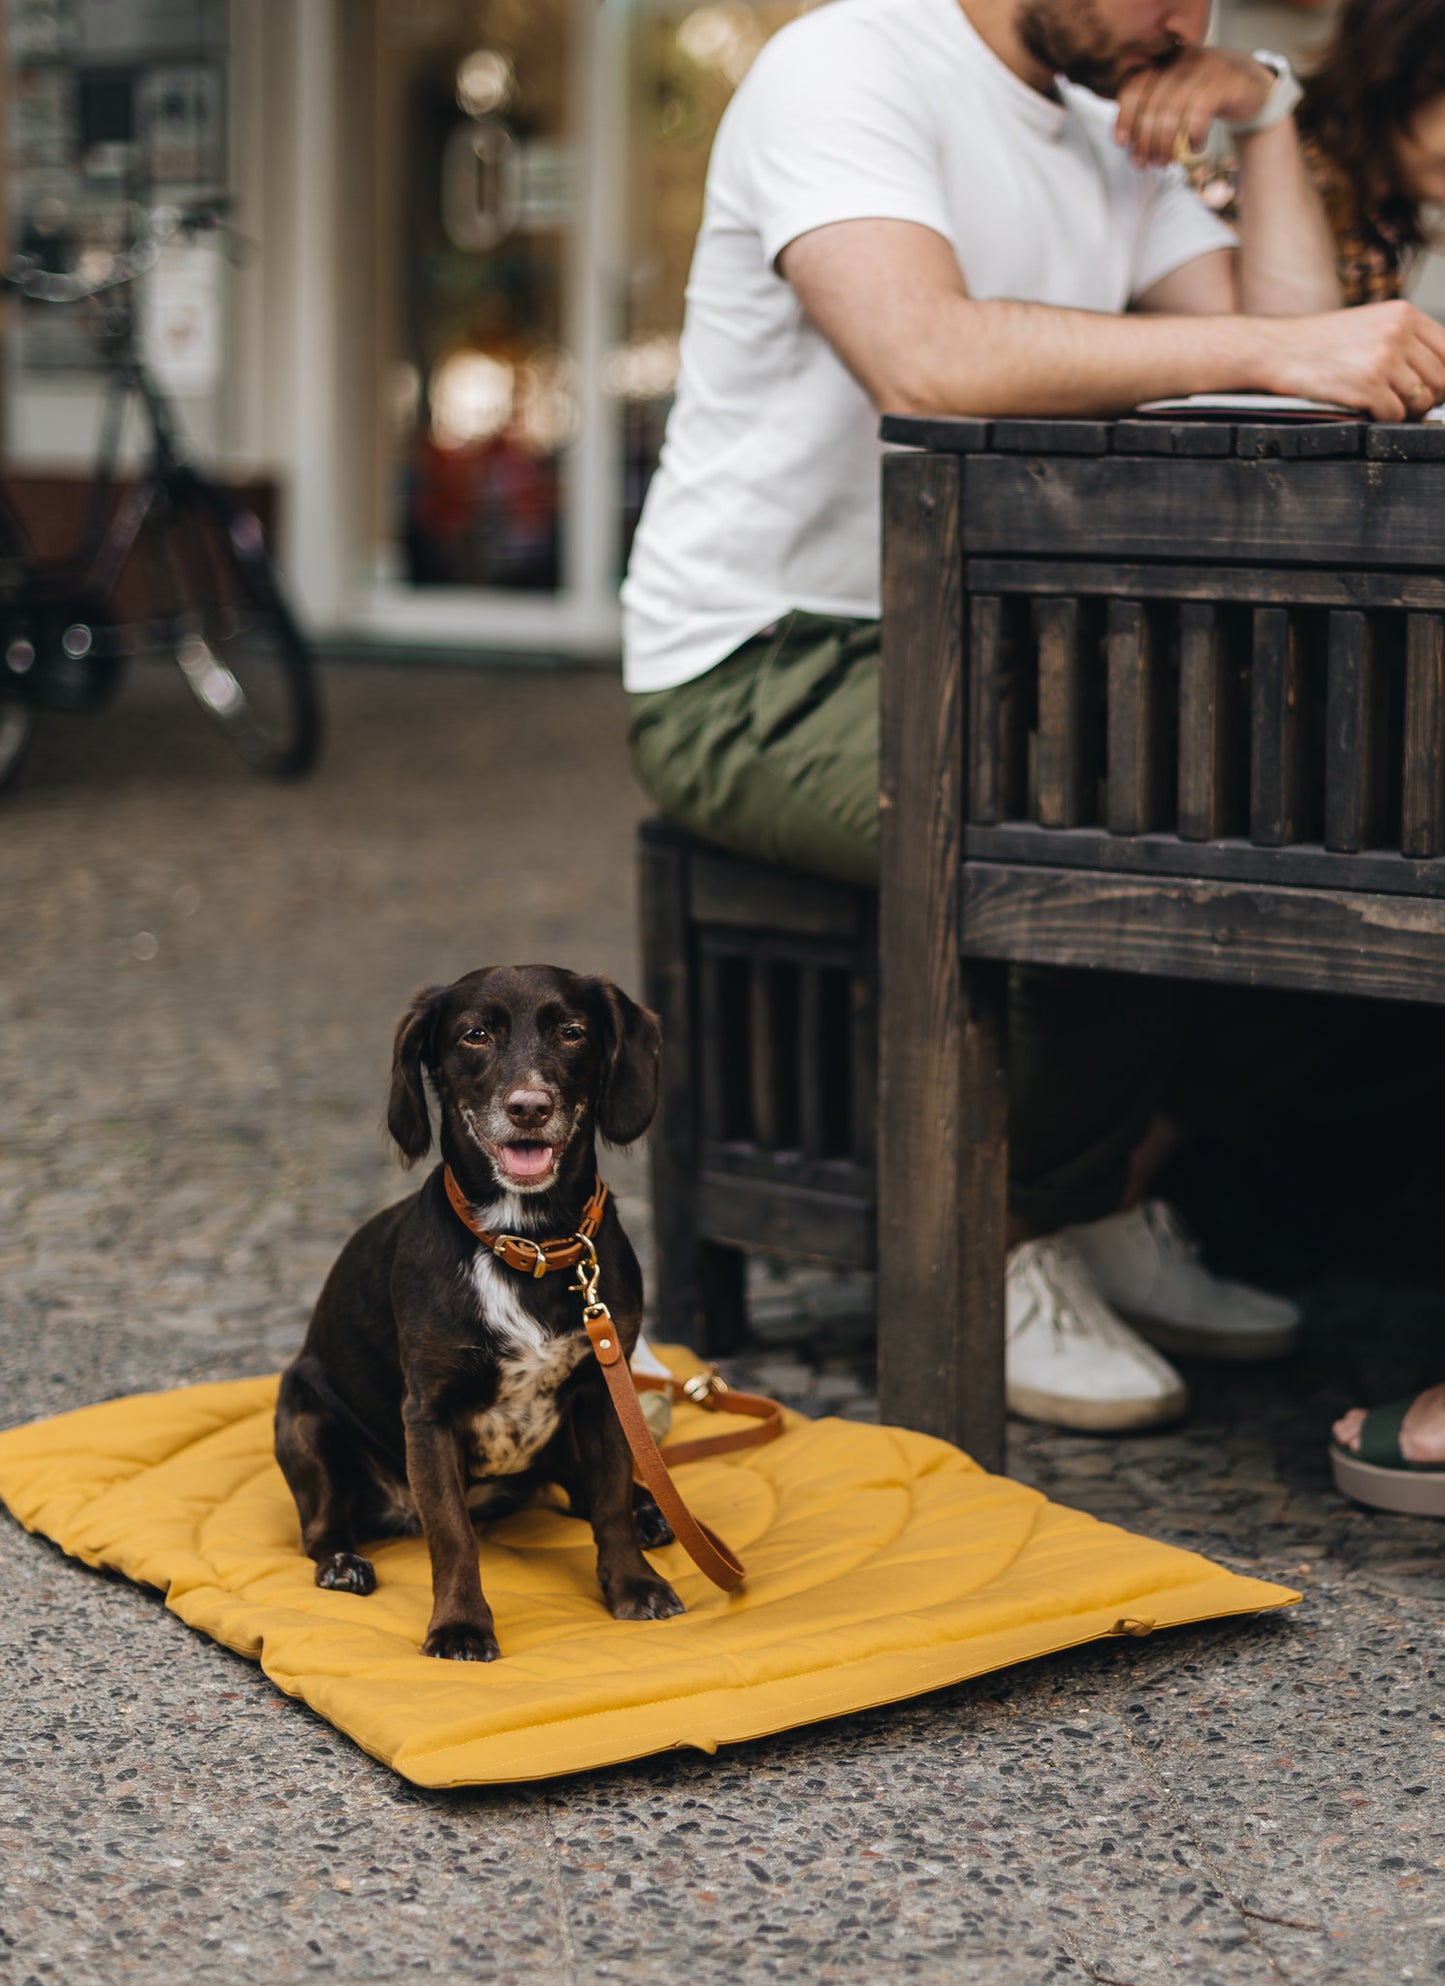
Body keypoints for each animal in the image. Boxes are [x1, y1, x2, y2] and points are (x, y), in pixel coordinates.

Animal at [275, 961, 682, 1660]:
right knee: (321, 1525)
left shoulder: (605, 1393)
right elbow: (452, 1535)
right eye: (475, 1034)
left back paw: (647, 1508)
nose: (529, 1107)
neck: (528, 1241)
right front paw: (460, 1625)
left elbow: (606, 1506)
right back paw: (342, 1562)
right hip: (301, 1415)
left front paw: (633, 1585)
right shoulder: (429, 1415)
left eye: (571, 1032)